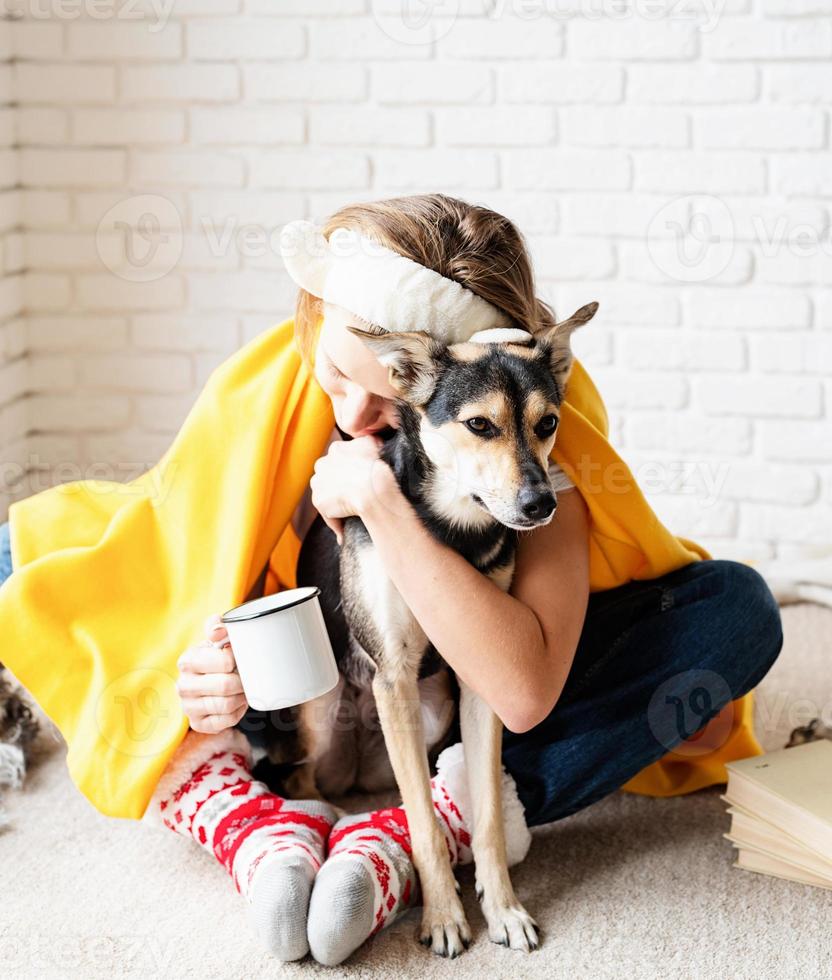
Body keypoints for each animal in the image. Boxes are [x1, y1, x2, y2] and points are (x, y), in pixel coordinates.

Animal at [260, 300, 600, 956]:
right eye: (480, 426)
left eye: (547, 423)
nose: (541, 505)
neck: (454, 528)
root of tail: (358, 768)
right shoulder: (392, 673)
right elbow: (419, 817)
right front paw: (443, 916)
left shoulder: (480, 683)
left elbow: (488, 815)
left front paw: (503, 910)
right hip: (322, 714)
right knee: (309, 780)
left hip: (435, 712)